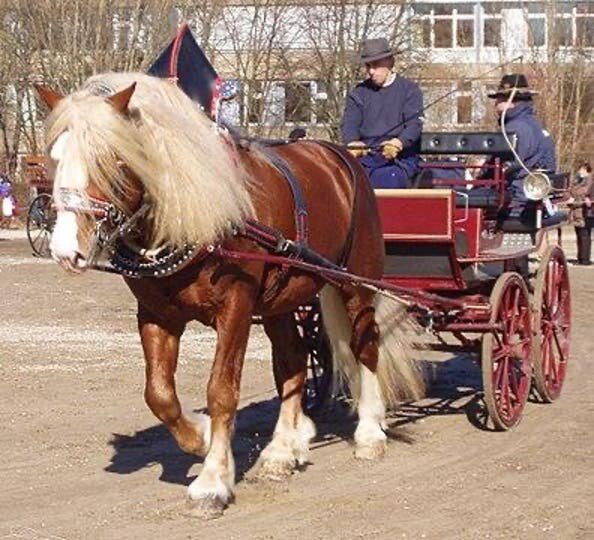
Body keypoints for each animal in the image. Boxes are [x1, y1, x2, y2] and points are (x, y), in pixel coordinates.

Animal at [35, 73, 420, 520]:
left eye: (113, 158)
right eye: (55, 156)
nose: (65, 250)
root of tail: (341, 156)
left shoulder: (235, 305)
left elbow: (221, 391)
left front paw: (213, 481)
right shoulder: (156, 313)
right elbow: (159, 394)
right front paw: (200, 437)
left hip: (354, 283)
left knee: (366, 347)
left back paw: (370, 431)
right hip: (281, 299)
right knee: (292, 361)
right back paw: (282, 450)